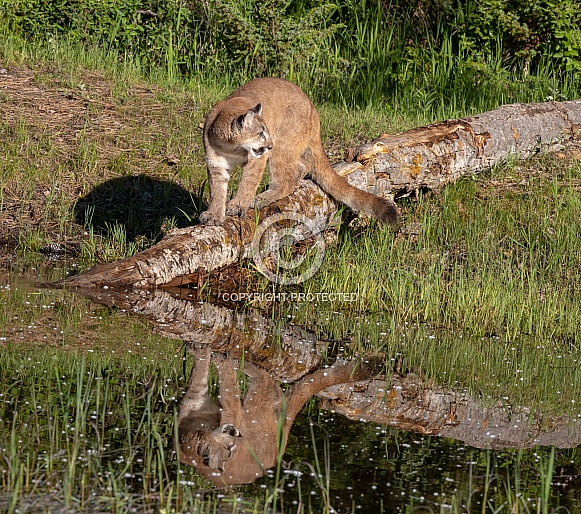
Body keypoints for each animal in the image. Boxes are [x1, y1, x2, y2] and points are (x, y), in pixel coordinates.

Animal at [199, 77, 398, 225]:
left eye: (266, 131)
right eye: (261, 133)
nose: (269, 145)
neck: (230, 146)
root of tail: (312, 106)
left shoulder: (256, 159)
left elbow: (248, 182)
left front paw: (238, 205)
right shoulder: (216, 164)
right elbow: (217, 190)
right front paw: (214, 215)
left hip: (282, 147)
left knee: (285, 180)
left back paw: (263, 198)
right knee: (303, 166)